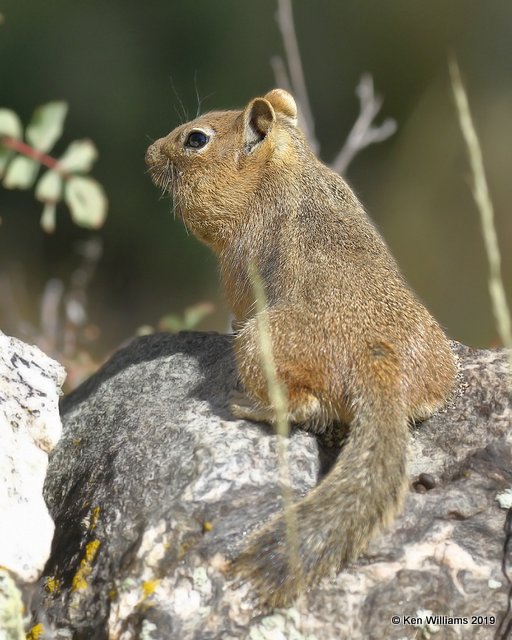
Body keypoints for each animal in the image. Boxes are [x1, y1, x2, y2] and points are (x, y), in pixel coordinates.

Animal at [145, 87, 456, 608]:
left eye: (196, 139)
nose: (149, 153)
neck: (289, 166)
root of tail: (381, 368)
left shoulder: (237, 258)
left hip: (259, 347)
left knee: (303, 408)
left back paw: (250, 408)